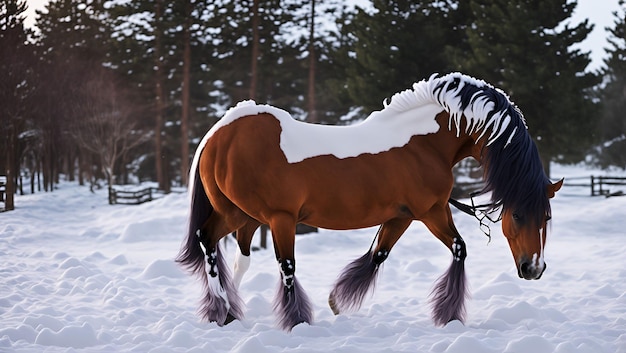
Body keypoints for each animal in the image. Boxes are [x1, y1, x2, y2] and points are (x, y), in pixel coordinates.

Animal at [174, 71, 560, 330]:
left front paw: (338, 302)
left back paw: (226, 311)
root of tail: (220, 132)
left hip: (242, 215)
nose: (534, 269)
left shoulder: (402, 215)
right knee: (263, 260)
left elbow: (378, 255)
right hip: (267, 217)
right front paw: (450, 315)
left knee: (221, 248)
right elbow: (460, 249)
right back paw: (256, 314)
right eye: (520, 215)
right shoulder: (431, 211)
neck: (424, 144)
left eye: (546, 218)